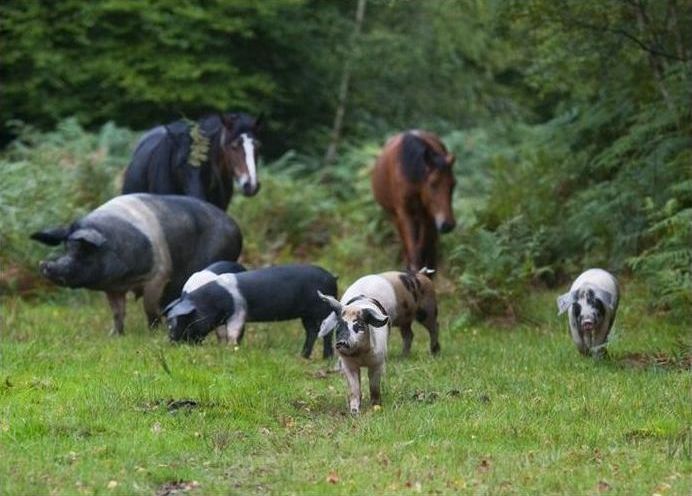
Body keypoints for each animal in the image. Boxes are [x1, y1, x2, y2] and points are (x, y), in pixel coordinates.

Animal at [30, 193, 243, 334]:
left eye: (83, 251)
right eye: (66, 248)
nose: (46, 267)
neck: (125, 278)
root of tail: (235, 226)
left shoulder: (159, 274)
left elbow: (149, 306)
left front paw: (153, 332)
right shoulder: (112, 288)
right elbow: (118, 312)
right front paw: (114, 335)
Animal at [162, 266, 336, 358]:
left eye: (188, 319)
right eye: (170, 322)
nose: (173, 342)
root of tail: (333, 277)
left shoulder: (238, 313)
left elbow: (233, 332)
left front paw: (231, 349)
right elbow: (222, 333)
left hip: (323, 311)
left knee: (327, 333)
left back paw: (326, 358)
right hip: (307, 315)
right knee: (312, 332)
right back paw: (303, 356)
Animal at [370, 130, 456, 272]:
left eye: (453, 184)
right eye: (432, 184)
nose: (447, 225)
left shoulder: (428, 216)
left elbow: (423, 248)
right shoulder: (404, 213)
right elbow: (414, 251)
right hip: (395, 217)